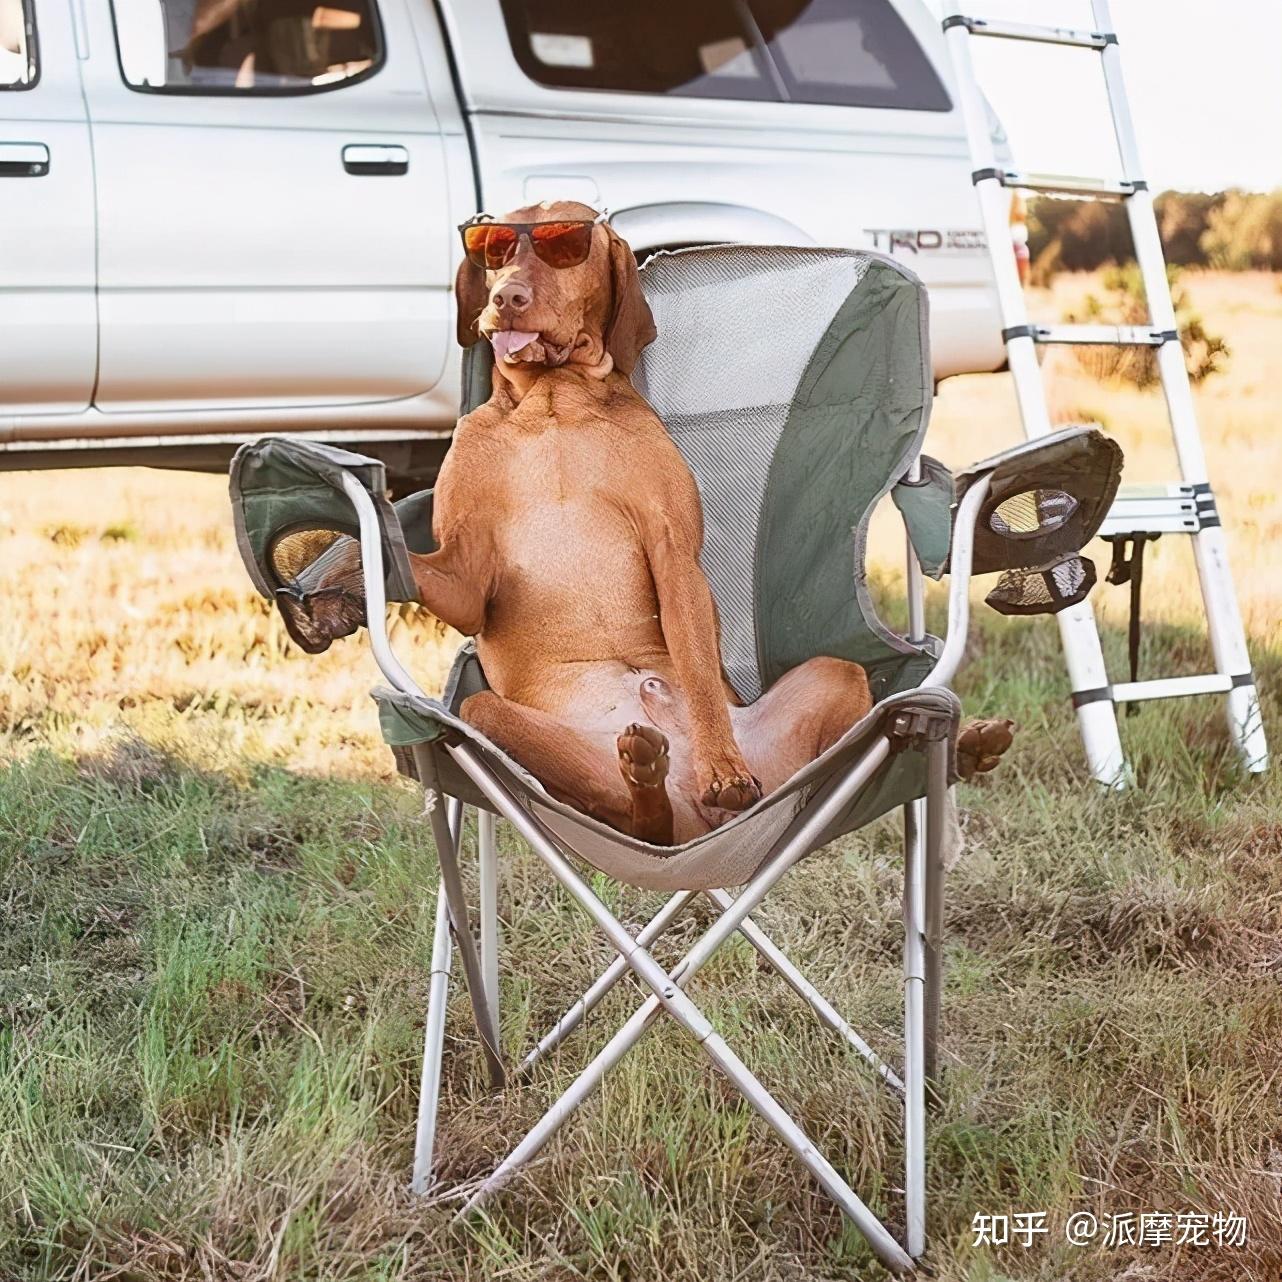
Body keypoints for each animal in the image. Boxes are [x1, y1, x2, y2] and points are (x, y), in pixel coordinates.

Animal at [302, 199, 1010, 840]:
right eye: (495, 250)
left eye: (565, 246)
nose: (505, 297)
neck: (553, 403)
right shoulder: (467, 581)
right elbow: (392, 552)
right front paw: (333, 575)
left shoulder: (673, 554)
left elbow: (697, 669)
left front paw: (723, 766)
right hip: (490, 717)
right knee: (639, 820)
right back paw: (646, 782)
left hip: (828, 689)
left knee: (790, 773)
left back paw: (953, 749)